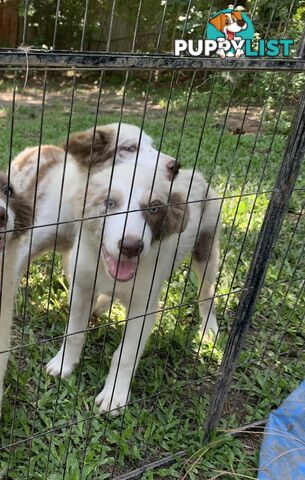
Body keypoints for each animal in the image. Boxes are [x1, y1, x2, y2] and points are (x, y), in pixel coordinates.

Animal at [46, 163, 220, 414]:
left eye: (154, 208)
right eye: (109, 203)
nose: (131, 247)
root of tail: (194, 174)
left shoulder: (143, 308)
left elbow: (125, 355)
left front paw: (114, 395)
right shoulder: (81, 287)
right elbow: (73, 334)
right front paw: (63, 364)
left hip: (206, 249)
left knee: (207, 293)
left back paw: (209, 329)